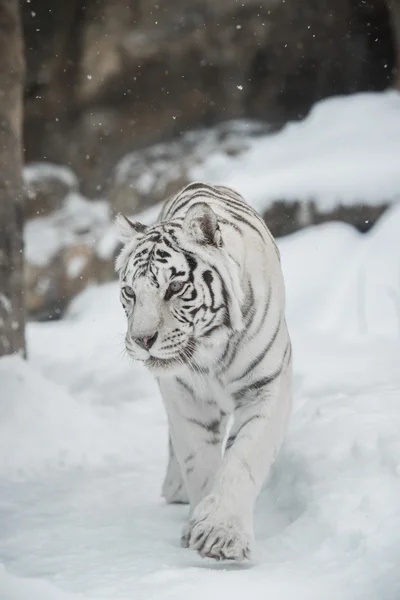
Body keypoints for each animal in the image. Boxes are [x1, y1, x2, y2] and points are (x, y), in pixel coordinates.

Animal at [114, 180, 292, 560]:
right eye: (130, 292)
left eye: (174, 287)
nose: (141, 339)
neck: (212, 353)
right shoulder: (183, 396)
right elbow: (199, 460)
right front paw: (198, 521)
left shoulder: (267, 385)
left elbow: (244, 458)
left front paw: (221, 533)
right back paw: (175, 489)